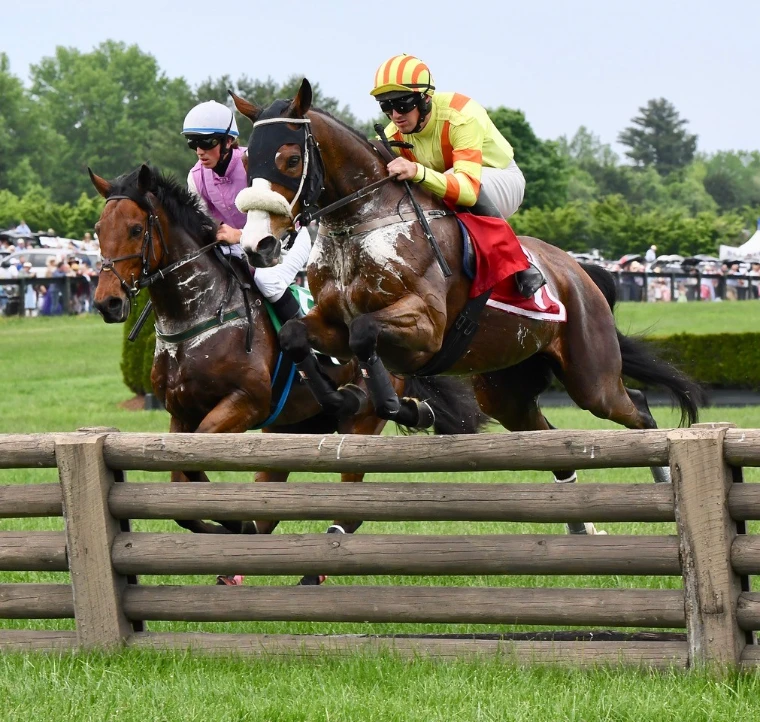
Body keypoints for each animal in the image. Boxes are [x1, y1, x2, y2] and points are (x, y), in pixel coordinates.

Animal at [88, 163, 487, 584]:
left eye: (136, 229)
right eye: (98, 229)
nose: (108, 303)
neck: (199, 312)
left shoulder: (244, 403)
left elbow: (195, 466)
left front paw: (234, 524)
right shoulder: (181, 414)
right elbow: (183, 495)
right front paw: (229, 527)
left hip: (359, 424)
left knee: (352, 504)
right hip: (292, 427)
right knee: (271, 502)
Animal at [230, 80, 706, 526]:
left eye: (291, 159)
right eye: (248, 160)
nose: (258, 246)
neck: (362, 223)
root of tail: (580, 272)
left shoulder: (425, 328)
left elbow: (366, 334)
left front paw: (402, 406)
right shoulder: (330, 324)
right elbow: (296, 335)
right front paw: (341, 399)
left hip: (592, 377)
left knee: (638, 409)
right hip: (508, 390)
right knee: (550, 443)